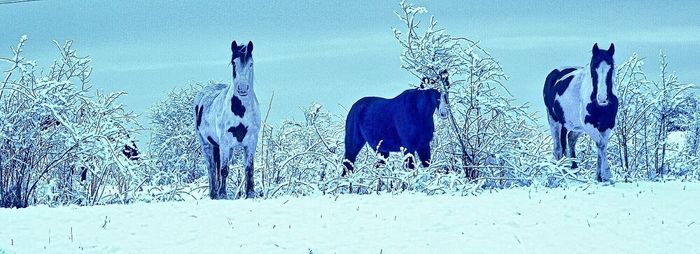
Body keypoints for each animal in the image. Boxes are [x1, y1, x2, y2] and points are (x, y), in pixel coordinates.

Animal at [193, 40, 262, 198]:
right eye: (234, 63)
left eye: (251, 63)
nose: (242, 88)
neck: (240, 112)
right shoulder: (224, 143)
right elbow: (223, 170)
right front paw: (223, 194)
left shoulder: (251, 142)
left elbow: (249, 169)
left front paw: (250, 193)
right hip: (207, 145)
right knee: (211, 168)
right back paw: (214, 193)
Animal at [540, 43, 616, 183]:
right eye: (593, 67)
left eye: (611, 67)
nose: (602, 98)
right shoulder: (589, 125)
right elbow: (600, 144)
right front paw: (607, 174)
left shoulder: (607, 125)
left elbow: (602, 145)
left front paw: (600, 176)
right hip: (554, 121)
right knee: (558, 148)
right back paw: (559, 172)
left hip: (576, 126)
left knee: (570, 139)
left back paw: (572, 168)